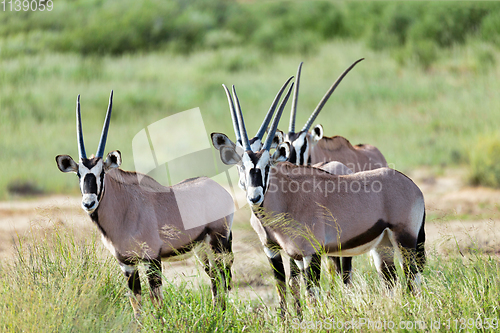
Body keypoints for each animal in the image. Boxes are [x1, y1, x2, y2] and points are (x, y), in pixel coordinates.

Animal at [54, 91, 234, 316]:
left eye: (101, 172)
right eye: (79, 174)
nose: (89, 203)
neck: (125, 209)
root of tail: (222, 191)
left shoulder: (152, 260)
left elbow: (157, 303)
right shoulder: (127, 264)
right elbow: (136, 304)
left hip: (219, 243)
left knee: (223, 280)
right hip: (203, 249)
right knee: (215, 282)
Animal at [219, 85, 426, 314]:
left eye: (267, 166)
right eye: (241, 166)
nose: (254, 196)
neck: (288, 197)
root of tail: (413, 186)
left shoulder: (311, 254)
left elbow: (312, 295)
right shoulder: (293, 255)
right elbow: (289, 290)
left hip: (405, 240)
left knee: (412, 279)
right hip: (383, 245)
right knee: (391, 282)